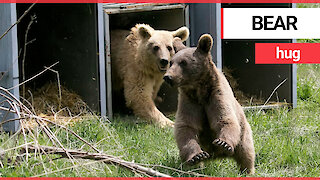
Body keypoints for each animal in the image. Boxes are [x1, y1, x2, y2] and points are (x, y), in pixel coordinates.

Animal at [164, 34, 256, 174]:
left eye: (183, 62)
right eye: (171, 62)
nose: (168, 77)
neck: (199, 91)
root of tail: (216, 156)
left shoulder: (217, 96)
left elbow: (225, 119)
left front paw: (223, 143)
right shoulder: (189, 102)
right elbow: (186, 127)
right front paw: (197, 156)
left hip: (243, 131)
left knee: (246, 151)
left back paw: (247, 170)